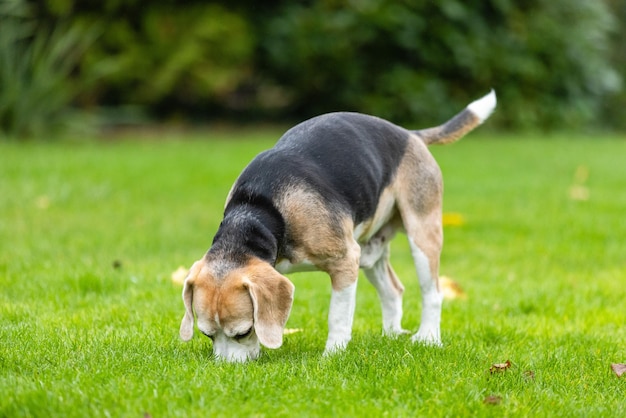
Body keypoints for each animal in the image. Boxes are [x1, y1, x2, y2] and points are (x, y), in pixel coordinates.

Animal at [178, 90, 494, 360]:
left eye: (244, 332)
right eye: (207, 334)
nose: (227, 368)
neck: (258, 211)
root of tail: (409, 134)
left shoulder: (345, 260)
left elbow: (338, 315)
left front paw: (333, 353)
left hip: (421, 233)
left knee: (433, 292)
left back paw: (427, 336)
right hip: (370, 252)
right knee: (393, 290)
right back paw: (392, 335)